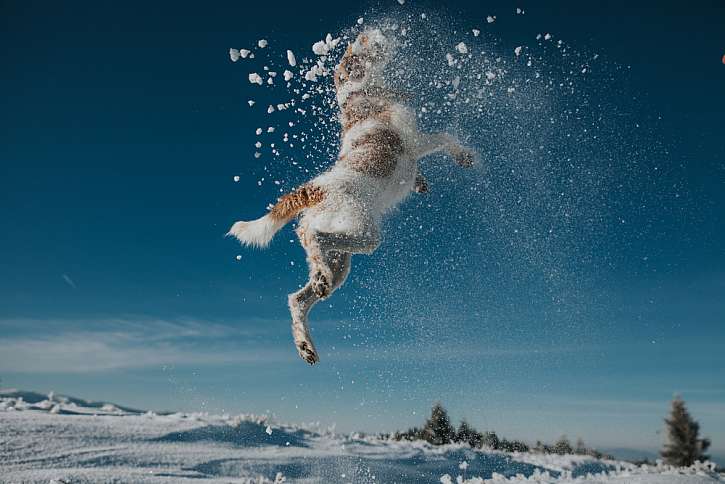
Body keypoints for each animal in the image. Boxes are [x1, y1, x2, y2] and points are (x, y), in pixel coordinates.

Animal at [228, 29, 476, 364]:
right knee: (317, 238)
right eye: (357, 52)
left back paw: (306, 343)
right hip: (364, 233)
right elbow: (445, 137)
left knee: (299, 297)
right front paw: (465, 156)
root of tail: (314, 190)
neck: (359, 97)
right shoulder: (415, 142)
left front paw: (421, 182)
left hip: (340, 262)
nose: (372, 32)